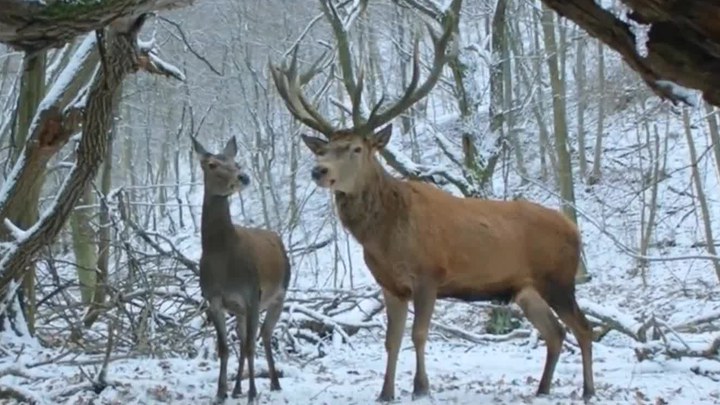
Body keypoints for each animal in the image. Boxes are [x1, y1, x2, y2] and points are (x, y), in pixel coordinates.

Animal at [193, 137, 292, 404]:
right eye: (212, 164)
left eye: (236, 162)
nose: (243, 177)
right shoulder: (214, 298)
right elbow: (224, 347)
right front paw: (220, 392)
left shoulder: (252, 294)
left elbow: (250, 346)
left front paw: (253, 393)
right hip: (239, 310)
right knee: (245, 338)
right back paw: (237, 388)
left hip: (280, 293)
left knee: (264, 335)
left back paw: (274, 383)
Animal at [270, 0, 596, 400]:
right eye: (324, 148)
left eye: (357, 148)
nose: (319, 171)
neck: (386, 238)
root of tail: (574, 228)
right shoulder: (389, 285)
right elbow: (391, 341)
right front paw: (386, 392)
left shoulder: (430, 274)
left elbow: (419, 334)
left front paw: (421, 388)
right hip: (525, 289)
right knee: (555, 332)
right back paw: (542, 388)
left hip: (559, 279)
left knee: (583, 329)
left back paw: (588, 390)